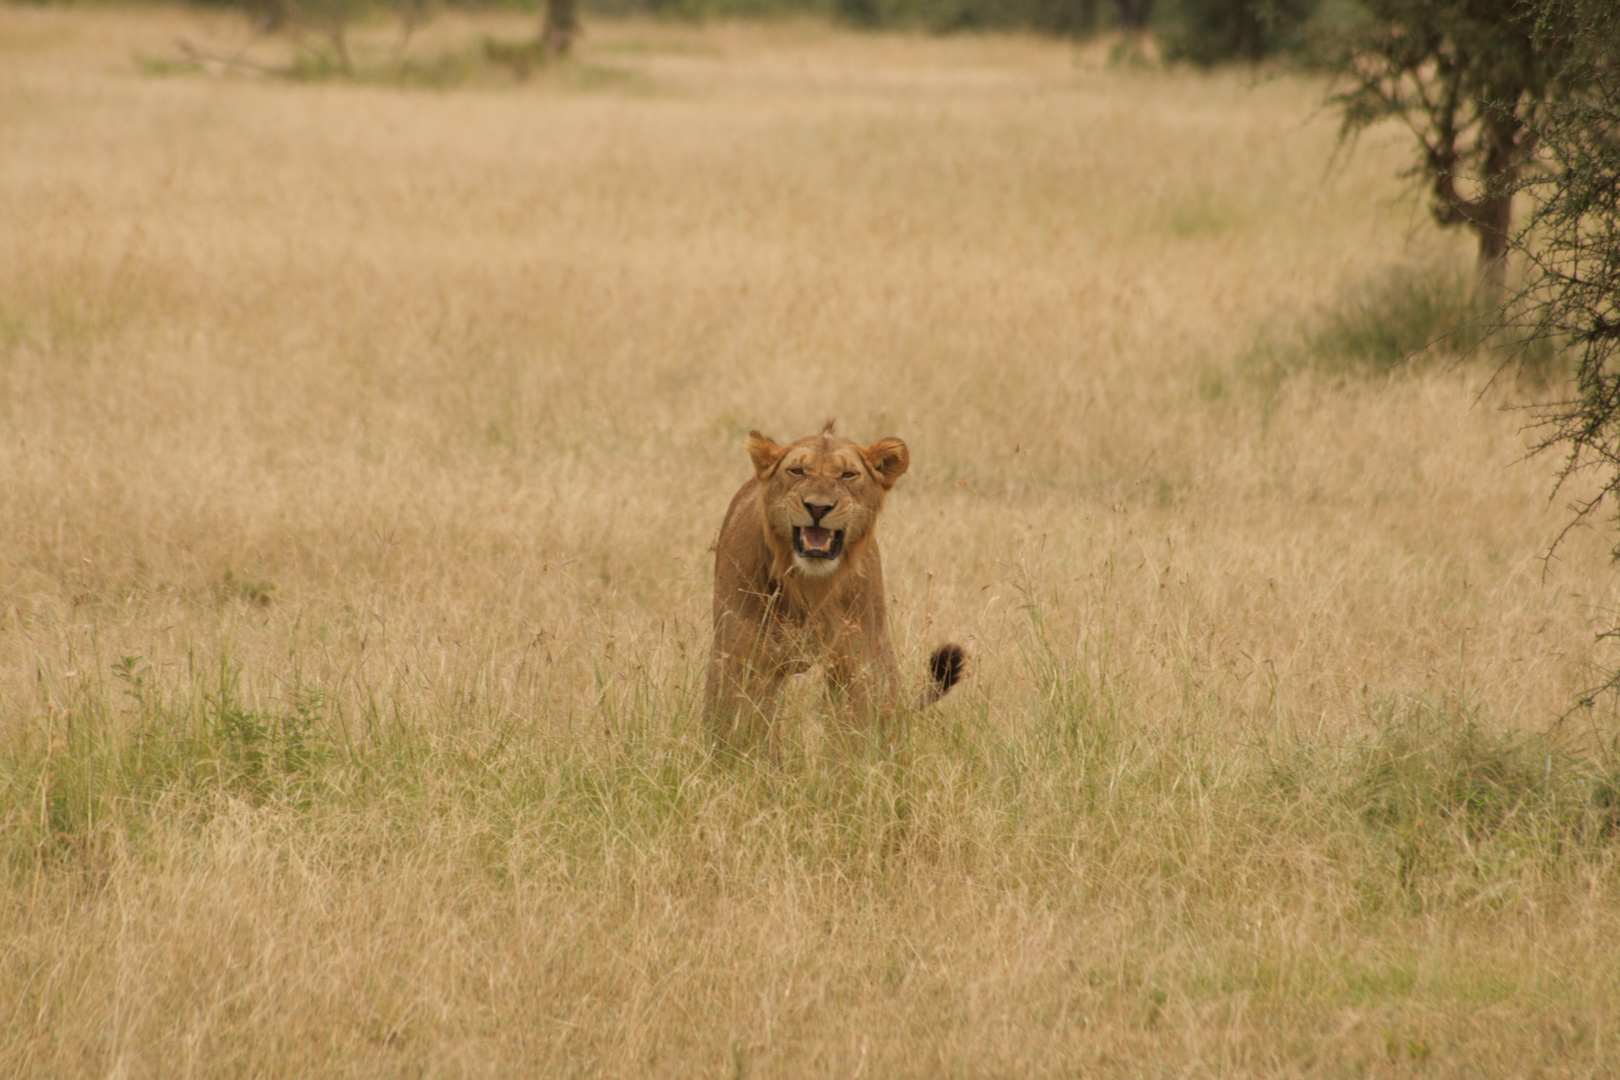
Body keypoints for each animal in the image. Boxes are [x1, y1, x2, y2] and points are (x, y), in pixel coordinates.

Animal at [706, 420, 959, 751]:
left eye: (848, 474)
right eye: (797, 471)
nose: (817, 508)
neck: (809, 585)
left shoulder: (856, 659)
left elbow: (852, 735)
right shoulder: (739, 652)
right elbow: (735, 722)